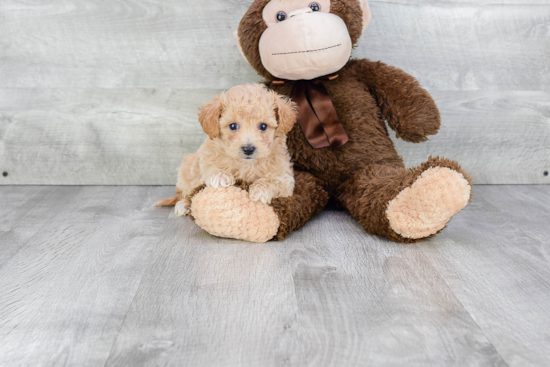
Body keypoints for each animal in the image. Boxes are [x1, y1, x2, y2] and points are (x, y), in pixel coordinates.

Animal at [155, 83, 300, 217]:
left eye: (263, 126)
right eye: (233, 126)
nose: (248, 149)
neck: (246, 165)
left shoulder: (285, 179)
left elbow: (274, 181)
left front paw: (260, 190)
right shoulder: (207, 157)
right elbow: (211, 168)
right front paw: (220, 176)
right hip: (188, 167)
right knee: (185, 192)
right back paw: (183, 205)